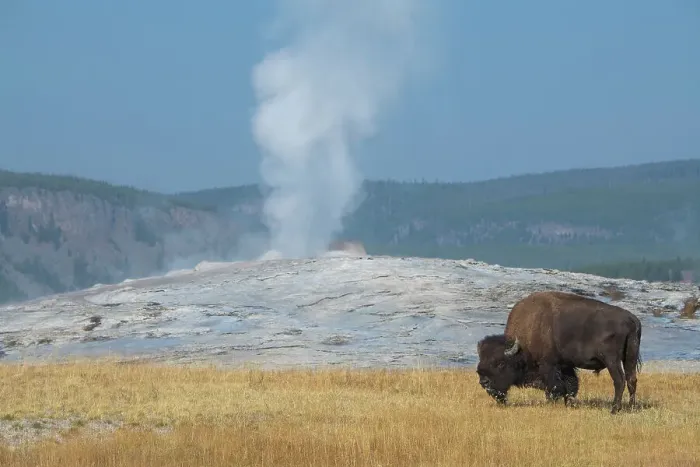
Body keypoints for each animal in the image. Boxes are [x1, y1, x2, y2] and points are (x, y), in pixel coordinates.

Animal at [476, 291, 642, 414]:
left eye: (500, 364)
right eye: (481, 360)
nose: (484, 382)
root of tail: (632, 319)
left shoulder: (548, 365)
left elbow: (554, 387)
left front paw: (552, 403)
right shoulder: (566, 365)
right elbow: (571, 385)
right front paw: (570, 404)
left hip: (612, 360)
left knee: (619, 380)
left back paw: (614, 409)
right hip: (630, 357)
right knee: (631, 379)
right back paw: (631, 407)